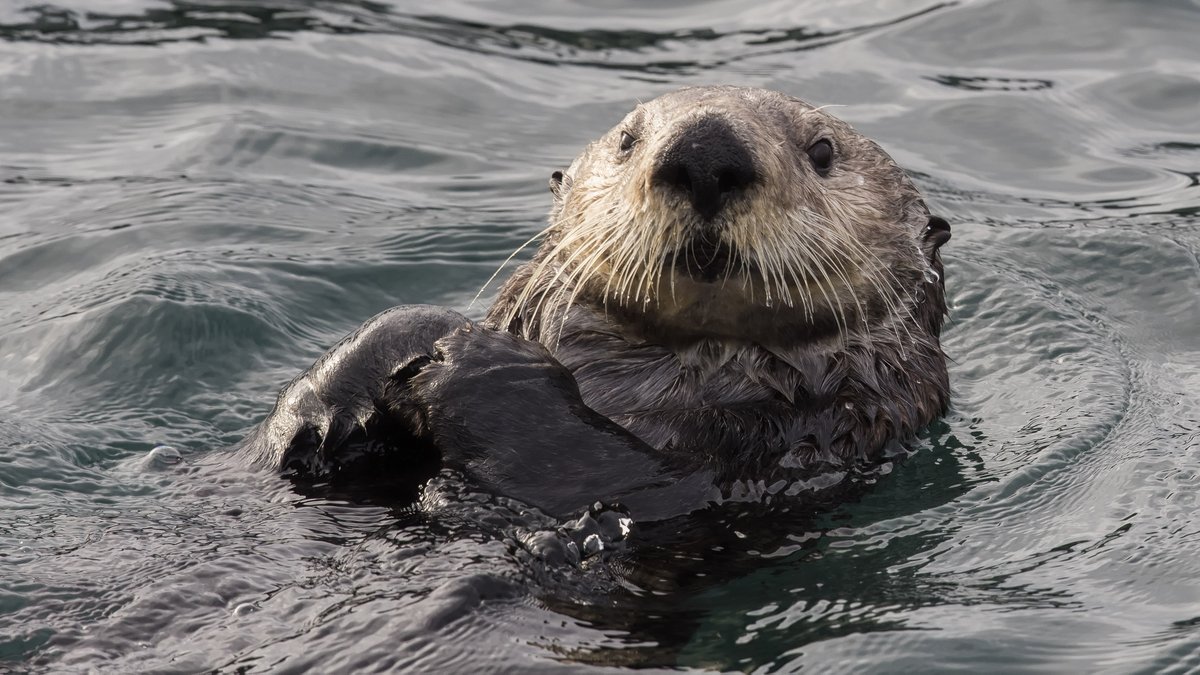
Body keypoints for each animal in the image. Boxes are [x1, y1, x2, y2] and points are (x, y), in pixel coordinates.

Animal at [240, 86, 951, 522]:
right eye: (628, 140)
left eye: (823, 151)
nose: (705, 153)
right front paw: (341, 390)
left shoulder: (770, 457)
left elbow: (587, 469)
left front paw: (479, 360)